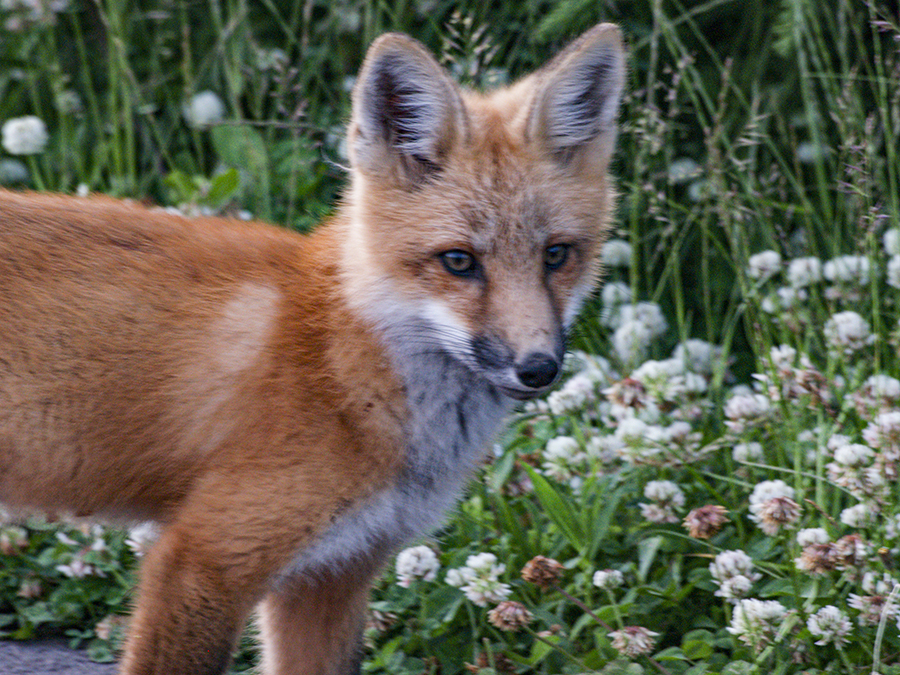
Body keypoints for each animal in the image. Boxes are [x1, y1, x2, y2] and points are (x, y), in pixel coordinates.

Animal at [0, 23, 624, 675]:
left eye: (556, 254)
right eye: (458, 261)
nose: (539, 368)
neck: (343, 371)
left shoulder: (334, 573)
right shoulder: (206, 556)